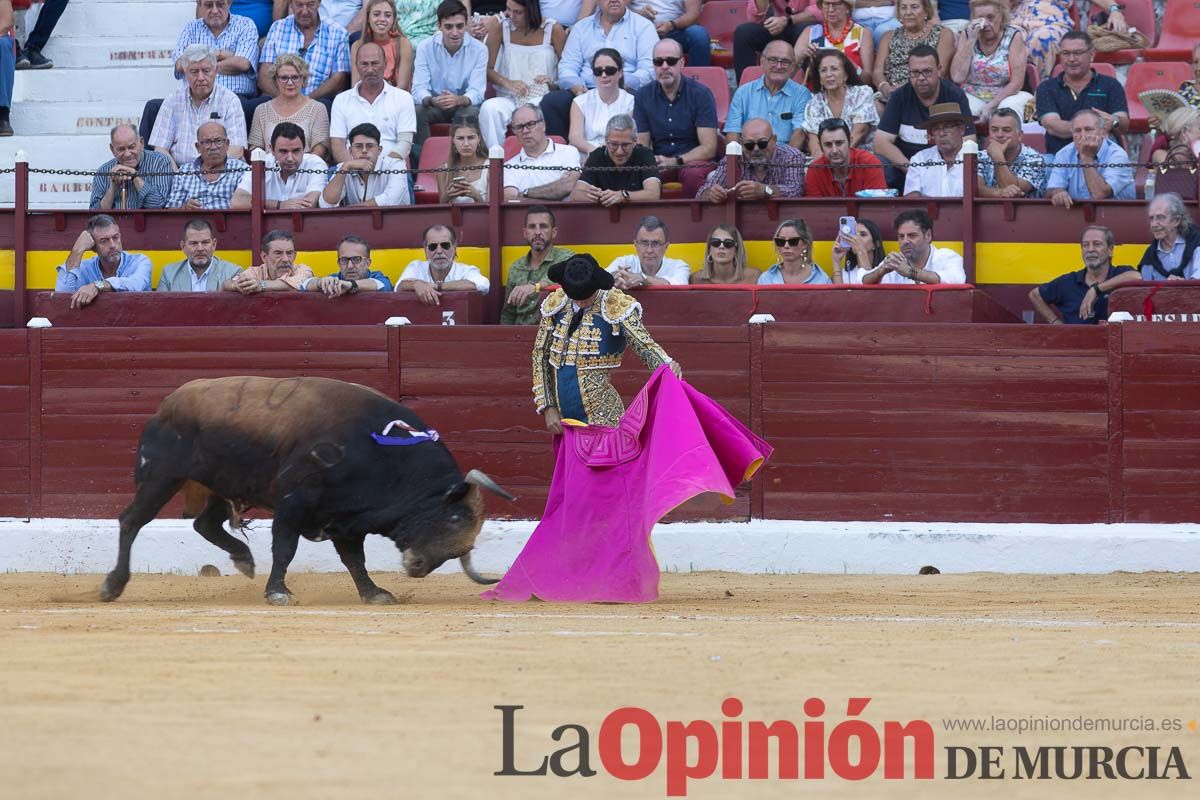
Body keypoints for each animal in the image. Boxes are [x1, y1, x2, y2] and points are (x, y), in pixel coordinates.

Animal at [99, 376, 516, 606]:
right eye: (455, 518)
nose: (419, 568)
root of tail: (167, 404)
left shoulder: (345, 519)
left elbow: (355, 560)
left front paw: (373, 594)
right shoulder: (294, 504)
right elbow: (285, 549)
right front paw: (277, 592)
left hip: (220, 483)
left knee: (205, 524)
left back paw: (243, 560)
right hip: (160, 477)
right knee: (131, 521)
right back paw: (112, 586)